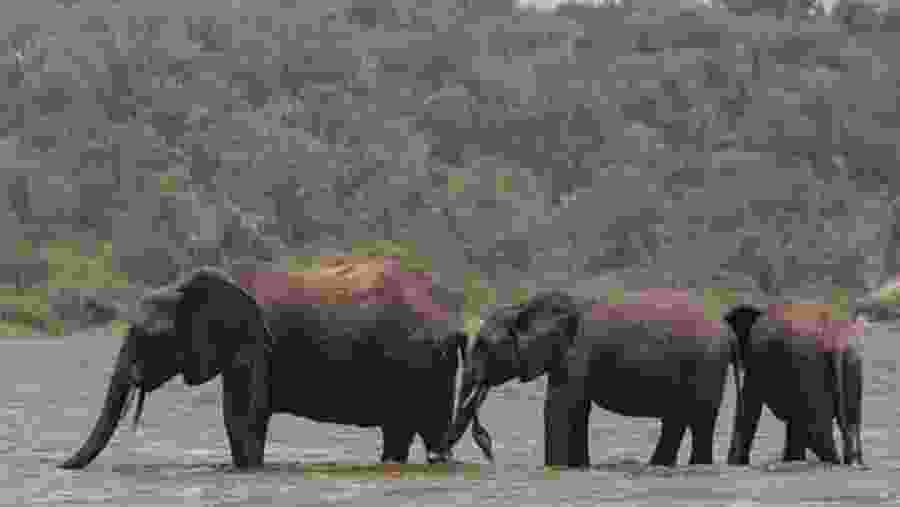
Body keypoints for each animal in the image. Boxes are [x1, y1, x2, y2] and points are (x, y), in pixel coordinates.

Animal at [59, 259, 468, 470]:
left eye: (148, 336)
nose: (60, 465)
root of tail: (453, 318)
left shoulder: (254, 345)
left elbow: (242, 415)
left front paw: (244, 469)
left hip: (423, 364)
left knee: (429, 430)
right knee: (401, 430)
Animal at [443, 289, 743, 468]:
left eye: (483, 345)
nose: (489, 453)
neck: (524, 307)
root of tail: (728, 330)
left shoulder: (577, 353)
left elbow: (560, 407)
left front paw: (555, 469)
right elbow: (577, 410)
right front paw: (578, 469)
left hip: (708, 363)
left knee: (700, 419)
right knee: (677, 418)